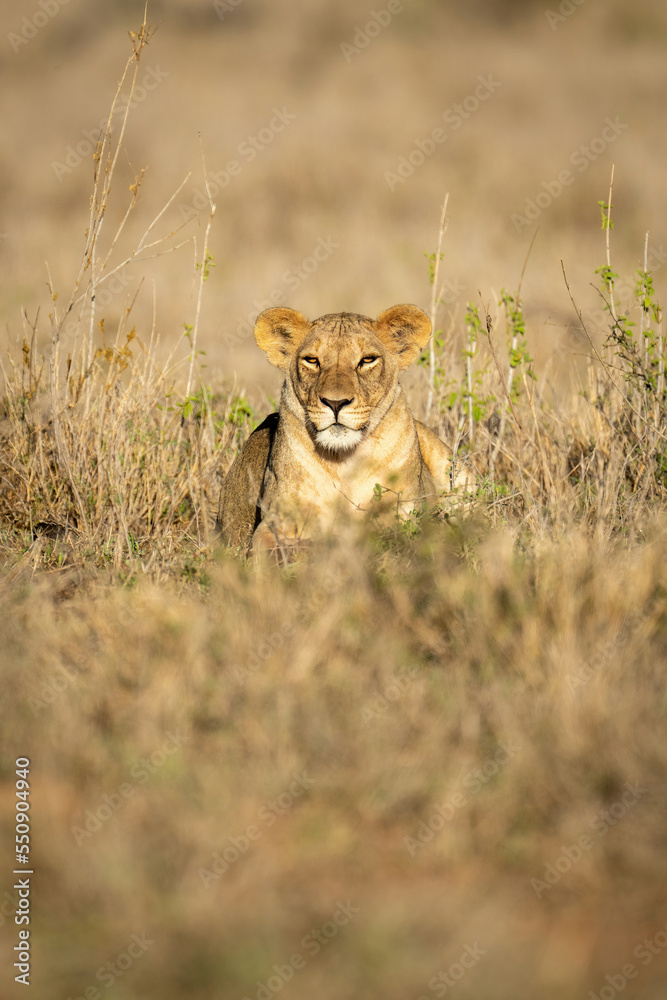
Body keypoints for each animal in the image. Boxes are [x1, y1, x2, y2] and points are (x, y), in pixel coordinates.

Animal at [217, 304, 468, 551]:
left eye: (367, 360)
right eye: (312, 360)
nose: (335, 403)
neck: (343, 462)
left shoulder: (410, 516)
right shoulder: (272, 525)